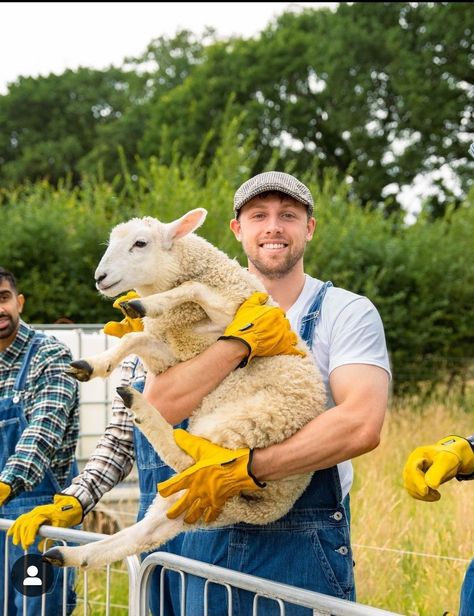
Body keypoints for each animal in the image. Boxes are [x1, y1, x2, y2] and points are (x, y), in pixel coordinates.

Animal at [43, 209, 326, 572]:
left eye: (140, 243)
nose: (100, 277)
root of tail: (270, 507)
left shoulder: (234, 312)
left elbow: (192, 288)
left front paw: (143, 305)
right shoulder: (176, 357)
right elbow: (134, 337)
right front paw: (94, 364)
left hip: (241, 425)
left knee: (191, 459)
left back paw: (138, 405)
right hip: (200, 495)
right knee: (147, 532)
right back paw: (72, 554)